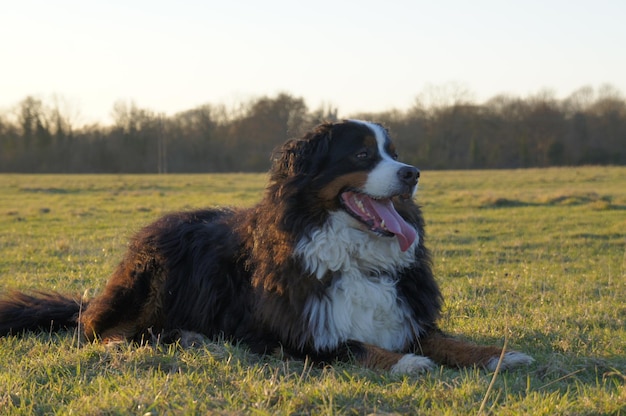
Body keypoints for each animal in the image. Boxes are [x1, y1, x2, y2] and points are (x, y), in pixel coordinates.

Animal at [0, 119, 532, 374]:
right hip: (143, 286)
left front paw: (498, 355)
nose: (413, 174)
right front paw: (406, 362)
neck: (354, 258)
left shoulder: (404, 314)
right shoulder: (292, 336)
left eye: (394, 154)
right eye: (363, 154)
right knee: (98, 331)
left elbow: (446, 340)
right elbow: (355, 346)